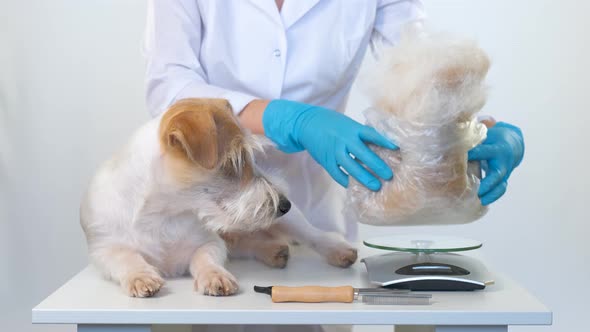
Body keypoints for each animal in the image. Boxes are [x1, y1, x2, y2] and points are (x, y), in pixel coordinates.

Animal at [81, 97, 358, 296]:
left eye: (250, 158)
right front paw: (141, 276)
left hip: (291, 222)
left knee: (314, 235)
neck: (164, 214)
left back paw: (337, 250)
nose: (285, 204)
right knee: (246, 244)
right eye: (235, 161)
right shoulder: (104, 250)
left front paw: (215, 275)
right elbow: (126, 258)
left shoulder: (210, 242)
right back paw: (272, 250)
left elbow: (204, 257)